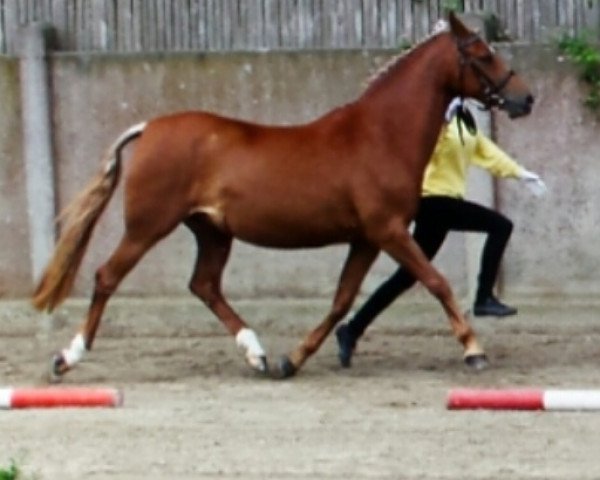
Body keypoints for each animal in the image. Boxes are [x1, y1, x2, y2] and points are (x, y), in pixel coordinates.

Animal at [32, 13, 532, 380]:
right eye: (483, 53)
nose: (525, 98)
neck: (380, 134)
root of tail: (149, 128)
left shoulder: (366, 239)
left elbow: (342, 300)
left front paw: (293, 359)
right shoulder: (387, 231)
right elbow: (436, 282)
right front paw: (473, 350)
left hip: (212, 232)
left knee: (204, 286)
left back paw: (256, 355)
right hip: (148, 226)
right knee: (106, 277)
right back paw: (66, 357)